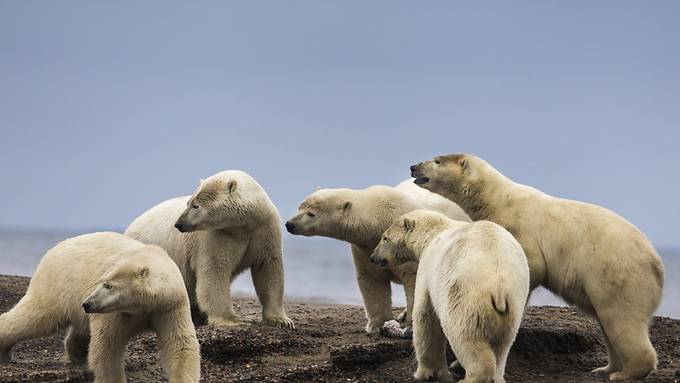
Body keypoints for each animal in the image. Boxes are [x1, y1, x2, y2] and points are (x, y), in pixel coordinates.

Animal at [0, 232, 202, 382]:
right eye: (102, 282)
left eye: (109, 286)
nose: (87, 303)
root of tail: (54, 249)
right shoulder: (116, 313)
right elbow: (107, 348)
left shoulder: (170, 305)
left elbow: (179, 345)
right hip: (57, 285)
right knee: (34, 317)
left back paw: (78, 353)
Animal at [126, 171, 294, 330]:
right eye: (189, 202)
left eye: (195, 205)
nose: (179, 224)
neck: (242, 226)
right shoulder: (216, 236)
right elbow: (214, 271)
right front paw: (231, 320)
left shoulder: (264, 230)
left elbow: (268, 268)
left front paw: (281, 320)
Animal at [284, 182, 470, 334]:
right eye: (300, 207)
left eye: (311, 214)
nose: (289, 224)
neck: (377, 219)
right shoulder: (366, 248)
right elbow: (372, 280)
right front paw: (377, 325)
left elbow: (413, 280)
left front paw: (410, 325)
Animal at [370, 210, 528, 383]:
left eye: (385, 237)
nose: (373, 257)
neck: (433, 234)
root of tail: (499, 285)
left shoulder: (428, 267)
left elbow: (425, 317)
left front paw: (424, 373)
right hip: (513, 303)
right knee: (502, 345)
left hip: (466, 297)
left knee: (465, 337)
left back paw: (467, 376)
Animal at [410, 154, 664, 380]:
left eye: (437, 160)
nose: (413, 166)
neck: (498, 198)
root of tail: (657, 263)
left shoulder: (521, 227)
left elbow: (533, 265)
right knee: (608, 323)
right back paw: (605, 368)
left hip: (617, 273)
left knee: (621, 319)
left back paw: (624, 373)